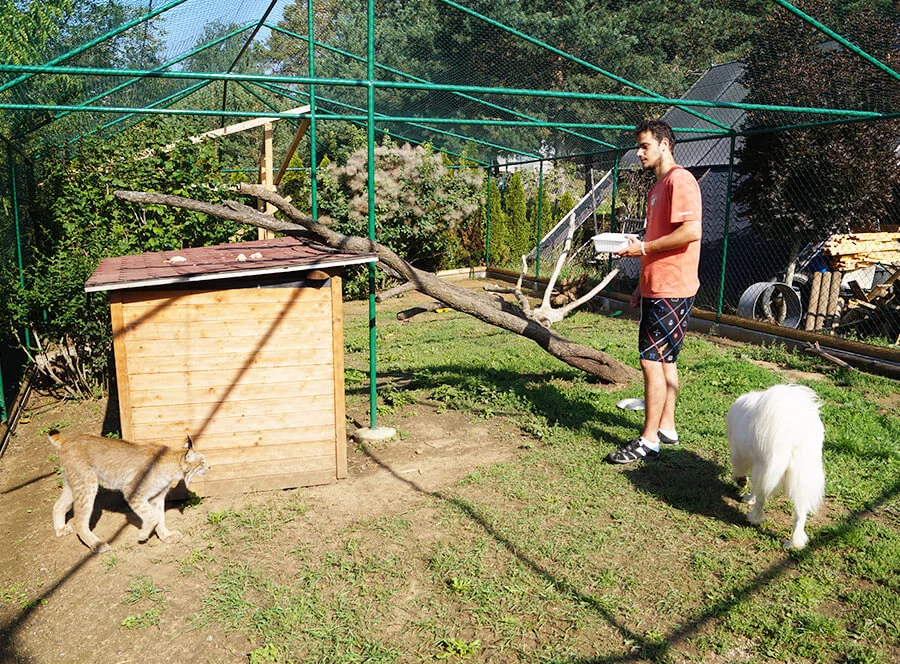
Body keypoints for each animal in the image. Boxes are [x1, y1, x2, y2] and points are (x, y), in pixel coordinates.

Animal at [728, 384, 828, 548]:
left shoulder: (741, 454)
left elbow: (742, 474)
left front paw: (745, 490)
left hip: (766, 469)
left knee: (761, 498)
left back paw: (755, 518)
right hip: (801, 478)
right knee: (800, 515)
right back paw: (794, 543)